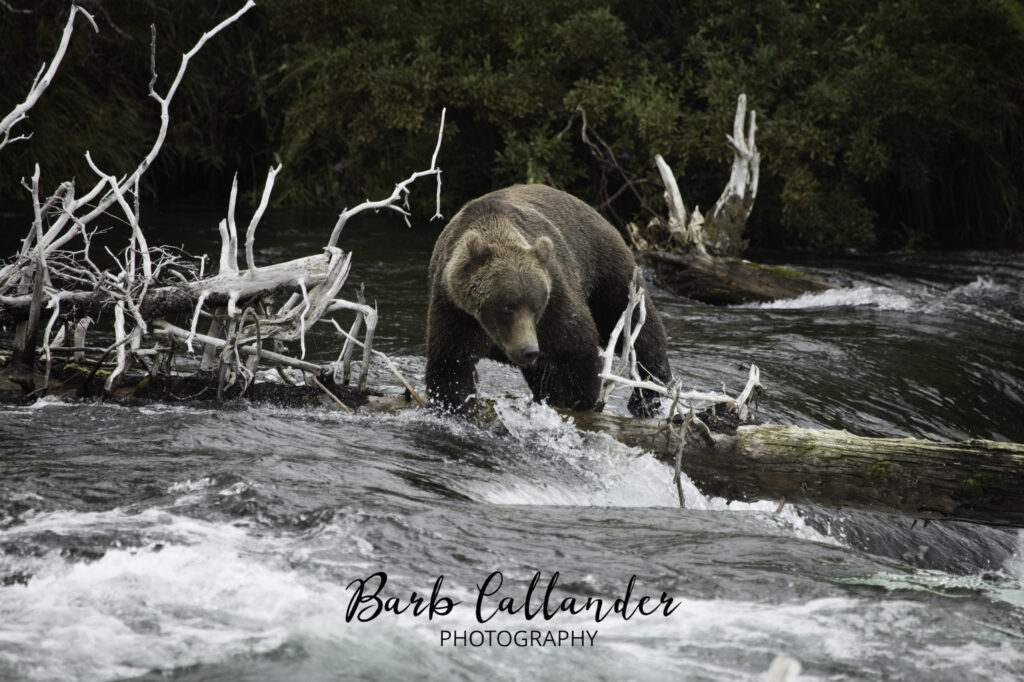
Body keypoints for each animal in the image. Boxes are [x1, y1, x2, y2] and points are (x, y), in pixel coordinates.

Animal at [425, 184, 672, 416]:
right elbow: (451, 365)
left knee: (638, 326)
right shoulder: (455, 311)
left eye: (537, 306)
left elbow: (576, 350)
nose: (529, 350)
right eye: (507, 306)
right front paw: (456, 405)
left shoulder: (554, 303)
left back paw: (651, 395)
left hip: (607, 271)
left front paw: (574, 404)